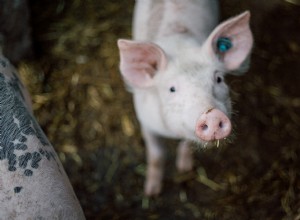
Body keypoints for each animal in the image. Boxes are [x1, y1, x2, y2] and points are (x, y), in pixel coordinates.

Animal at [117, 0, 253, 196]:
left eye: (219, 79)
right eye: (172, 89)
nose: (212, 115)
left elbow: (187, 144)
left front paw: (184, 168)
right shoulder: (145, 122)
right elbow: (156, 154)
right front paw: (152, 191)